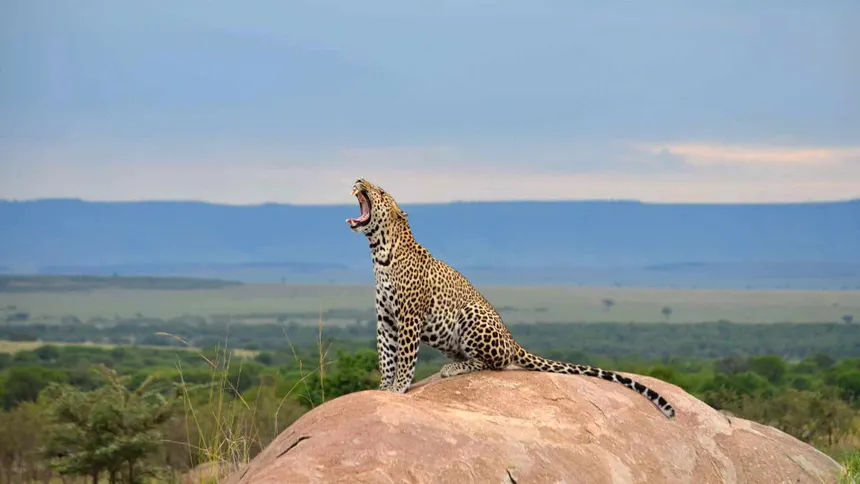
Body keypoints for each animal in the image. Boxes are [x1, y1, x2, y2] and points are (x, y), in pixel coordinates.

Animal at [345, 178, 676, 419]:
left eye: (381, 191)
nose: (359, 179)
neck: (380, 251)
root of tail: (513, 340)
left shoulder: (409, 316)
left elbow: (404, 356)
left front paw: (399, 388)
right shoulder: (386, 319)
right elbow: (385, 355)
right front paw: (383, 387)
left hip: (471, 314)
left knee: (495, 364)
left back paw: (454, 369)